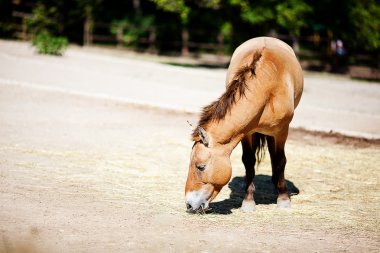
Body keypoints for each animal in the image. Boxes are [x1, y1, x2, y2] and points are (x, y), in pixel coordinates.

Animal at [183, 36, 302, 213]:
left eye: (201, 167)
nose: (189, 204)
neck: (268, 87)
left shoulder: (282, 131)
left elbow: (280, 160)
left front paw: (283, 199)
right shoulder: (247, 132)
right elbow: (249, 161)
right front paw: (248, 201)